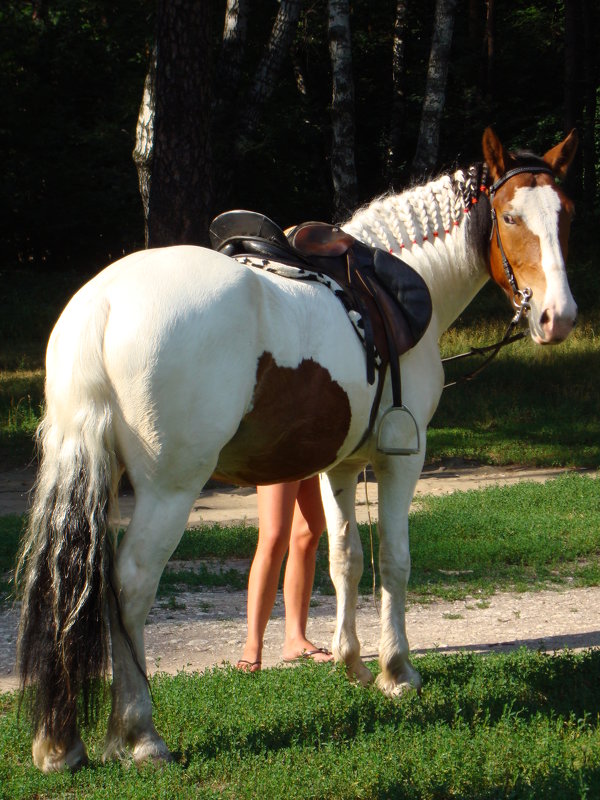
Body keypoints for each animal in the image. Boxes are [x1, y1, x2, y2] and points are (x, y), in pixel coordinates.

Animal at [15, 128, 576, 772]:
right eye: (510, 216)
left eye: (567, 215)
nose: (557, 317)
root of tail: (103, 303)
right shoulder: (401, 461)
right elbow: (396, 560)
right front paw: (397, 672)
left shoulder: (342, 465)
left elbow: (345, 558)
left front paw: (352, 663)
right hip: (169, 490)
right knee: (130, 585)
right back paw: (139, 733)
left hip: (96, 478)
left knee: (81, 582)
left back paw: (65, 744)